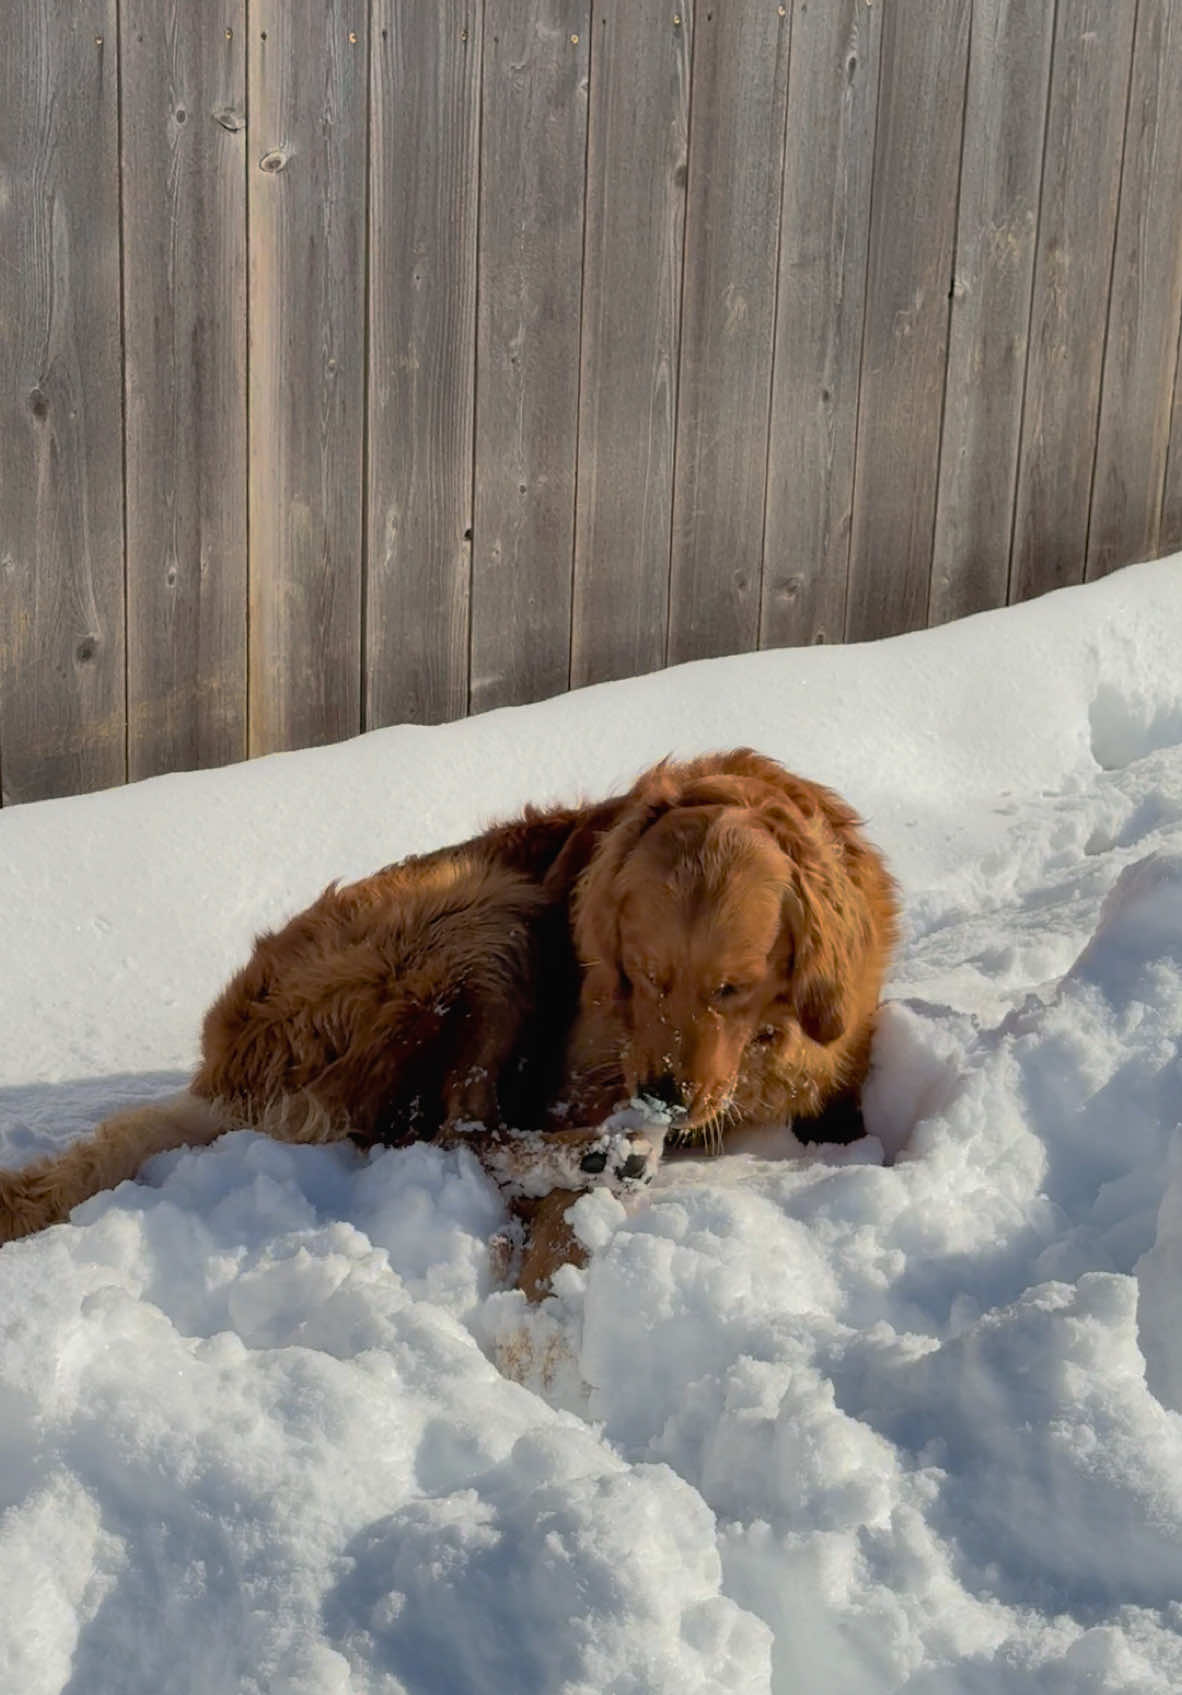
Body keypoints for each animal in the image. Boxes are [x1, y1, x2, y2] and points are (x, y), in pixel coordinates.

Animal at [0, 752, 895, 1294]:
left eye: (732, 987)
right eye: (642, 976)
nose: (665, 1096)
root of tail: (219, 1068)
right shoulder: (577, 1071)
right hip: (486, 916)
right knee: (452, 1131)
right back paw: (602, 1155)